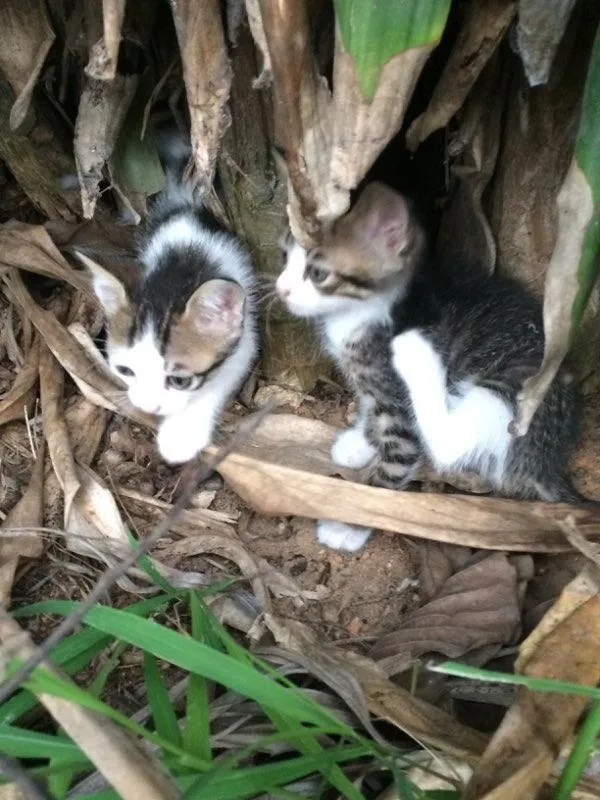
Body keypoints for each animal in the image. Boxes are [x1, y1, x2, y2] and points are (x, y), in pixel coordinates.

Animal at [76, 138, 256, 462]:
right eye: (125, 371)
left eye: (179, 380)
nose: (149, 407)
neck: (182, 261)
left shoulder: (246, 337)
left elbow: (219, 380)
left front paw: (181, 434)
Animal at [276, 183, 584, 552]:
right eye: (283, 258)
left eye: (317, 274)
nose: (280, 289)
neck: (359, 314)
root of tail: (548, 460)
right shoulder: (371, 381)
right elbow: (371, 410)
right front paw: (361, 442)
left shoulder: (393, 394)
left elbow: (397, 458)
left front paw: (352, 523)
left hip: (515, 390)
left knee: (447, 445)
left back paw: (416, 354)